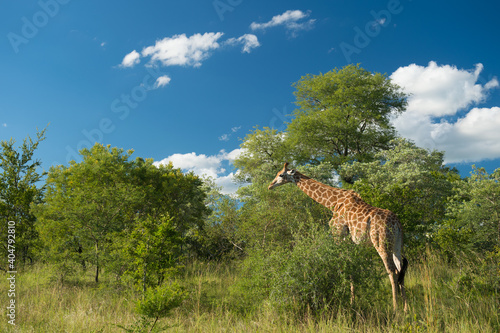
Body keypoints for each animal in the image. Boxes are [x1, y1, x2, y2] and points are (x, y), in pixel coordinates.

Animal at [268, 162, 408, 310]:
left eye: (281, 175)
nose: (270, 185)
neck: (332, 202)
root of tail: (397, 223)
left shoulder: (338, 234)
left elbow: (341, 264)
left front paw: (342, 297)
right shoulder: (350, 241)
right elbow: (351, 267)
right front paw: (352, 300)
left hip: (381, 242)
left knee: (392, 271)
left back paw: (395, 308)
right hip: (397, 244)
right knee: (401, 269)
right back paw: (406, 308)